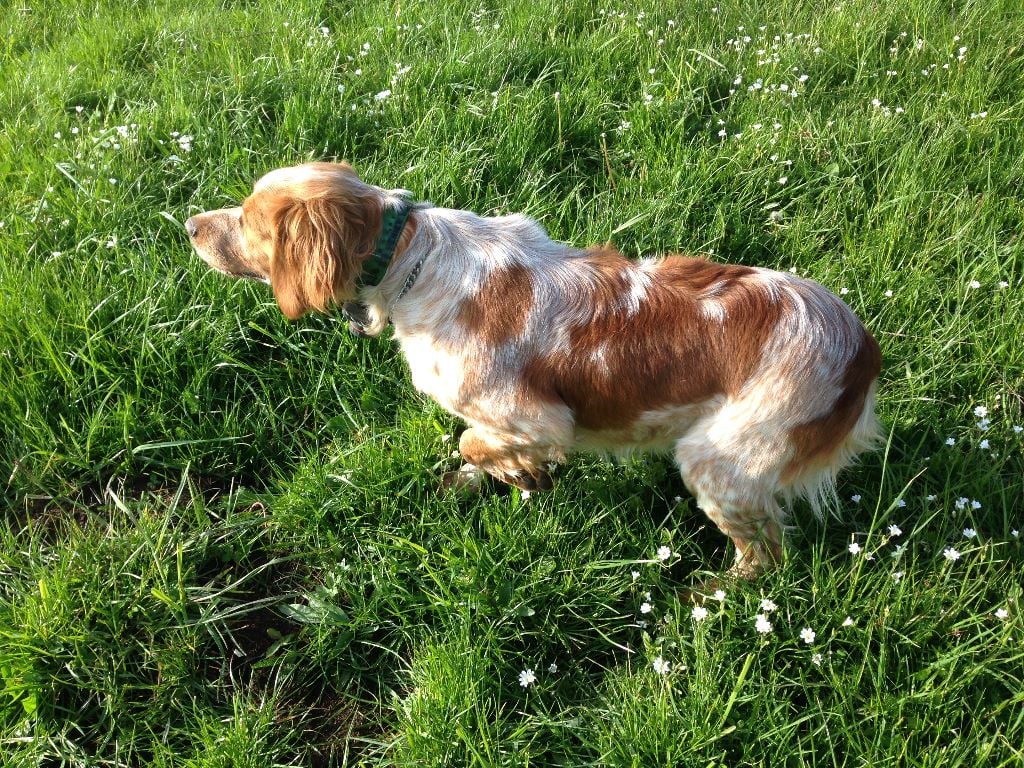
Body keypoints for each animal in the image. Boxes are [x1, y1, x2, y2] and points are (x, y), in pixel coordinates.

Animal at [188, 165, 884, 581]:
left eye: (247, 219)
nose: (189, 223)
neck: (413, 258)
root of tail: (861, 351)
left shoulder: (537, 417)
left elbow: (477, 438)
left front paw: (521, 475)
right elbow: (472, 447)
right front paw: (481, 480)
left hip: (719, 464)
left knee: (766, 554)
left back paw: (711, 602)